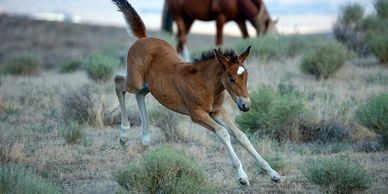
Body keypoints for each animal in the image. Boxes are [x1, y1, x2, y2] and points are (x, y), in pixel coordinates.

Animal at [110, 0, 280, 186]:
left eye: (246, 76)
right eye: (231, 78)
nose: (245, 105)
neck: (206, 84)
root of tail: (143, 38)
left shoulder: (217, 111)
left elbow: (241, 136)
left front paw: (272, 173)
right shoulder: (197, 114)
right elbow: (223, 133)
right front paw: (242, 176)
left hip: (147, 85)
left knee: (140, 94)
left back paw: (146, 138)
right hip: (136, 81)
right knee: (118, 82)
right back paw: (124, 136)